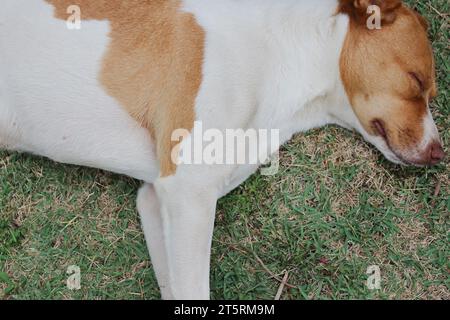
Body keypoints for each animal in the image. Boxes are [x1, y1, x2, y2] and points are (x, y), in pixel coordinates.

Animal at [0, 0, 442, 300]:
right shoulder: (188, 194)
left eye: (429, 91)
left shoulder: (158, 200)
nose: (439, 154)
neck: (281, 54)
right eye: (416, 81)